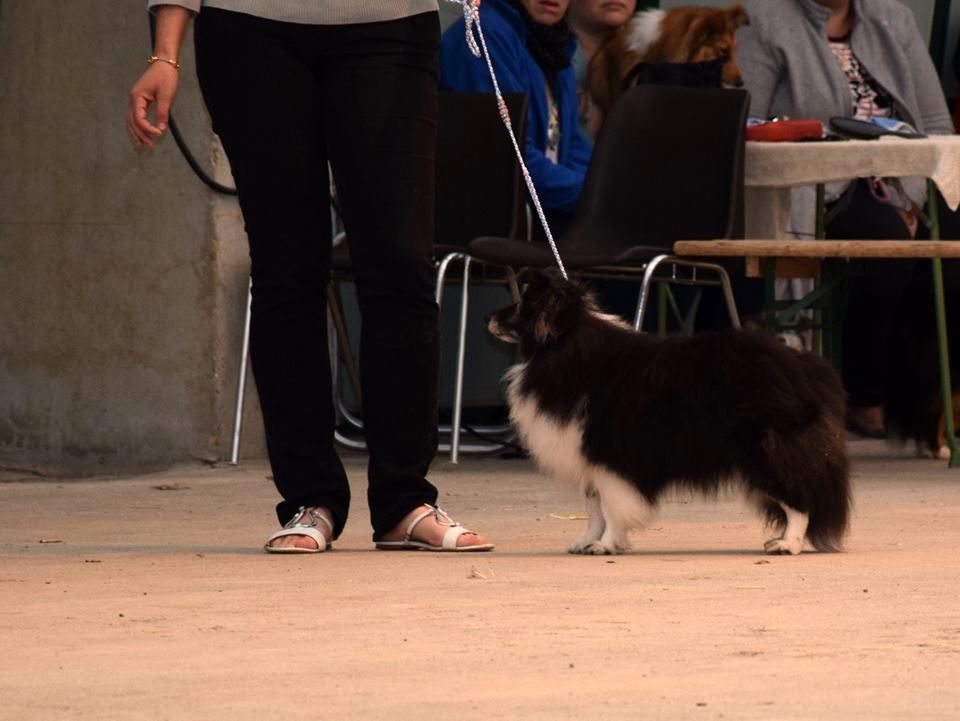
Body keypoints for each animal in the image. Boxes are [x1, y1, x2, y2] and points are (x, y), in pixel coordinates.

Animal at [492, 268, 852, 556]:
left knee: (800, 499)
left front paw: (605, 545)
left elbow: (610, 507)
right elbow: (594, 507)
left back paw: (788, 544)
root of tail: (806, 366)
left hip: (767, 451)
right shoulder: (588, 459)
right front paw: (587, 541)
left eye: (523, 304)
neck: (565, 343)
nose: (488, 318)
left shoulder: (609, 455)